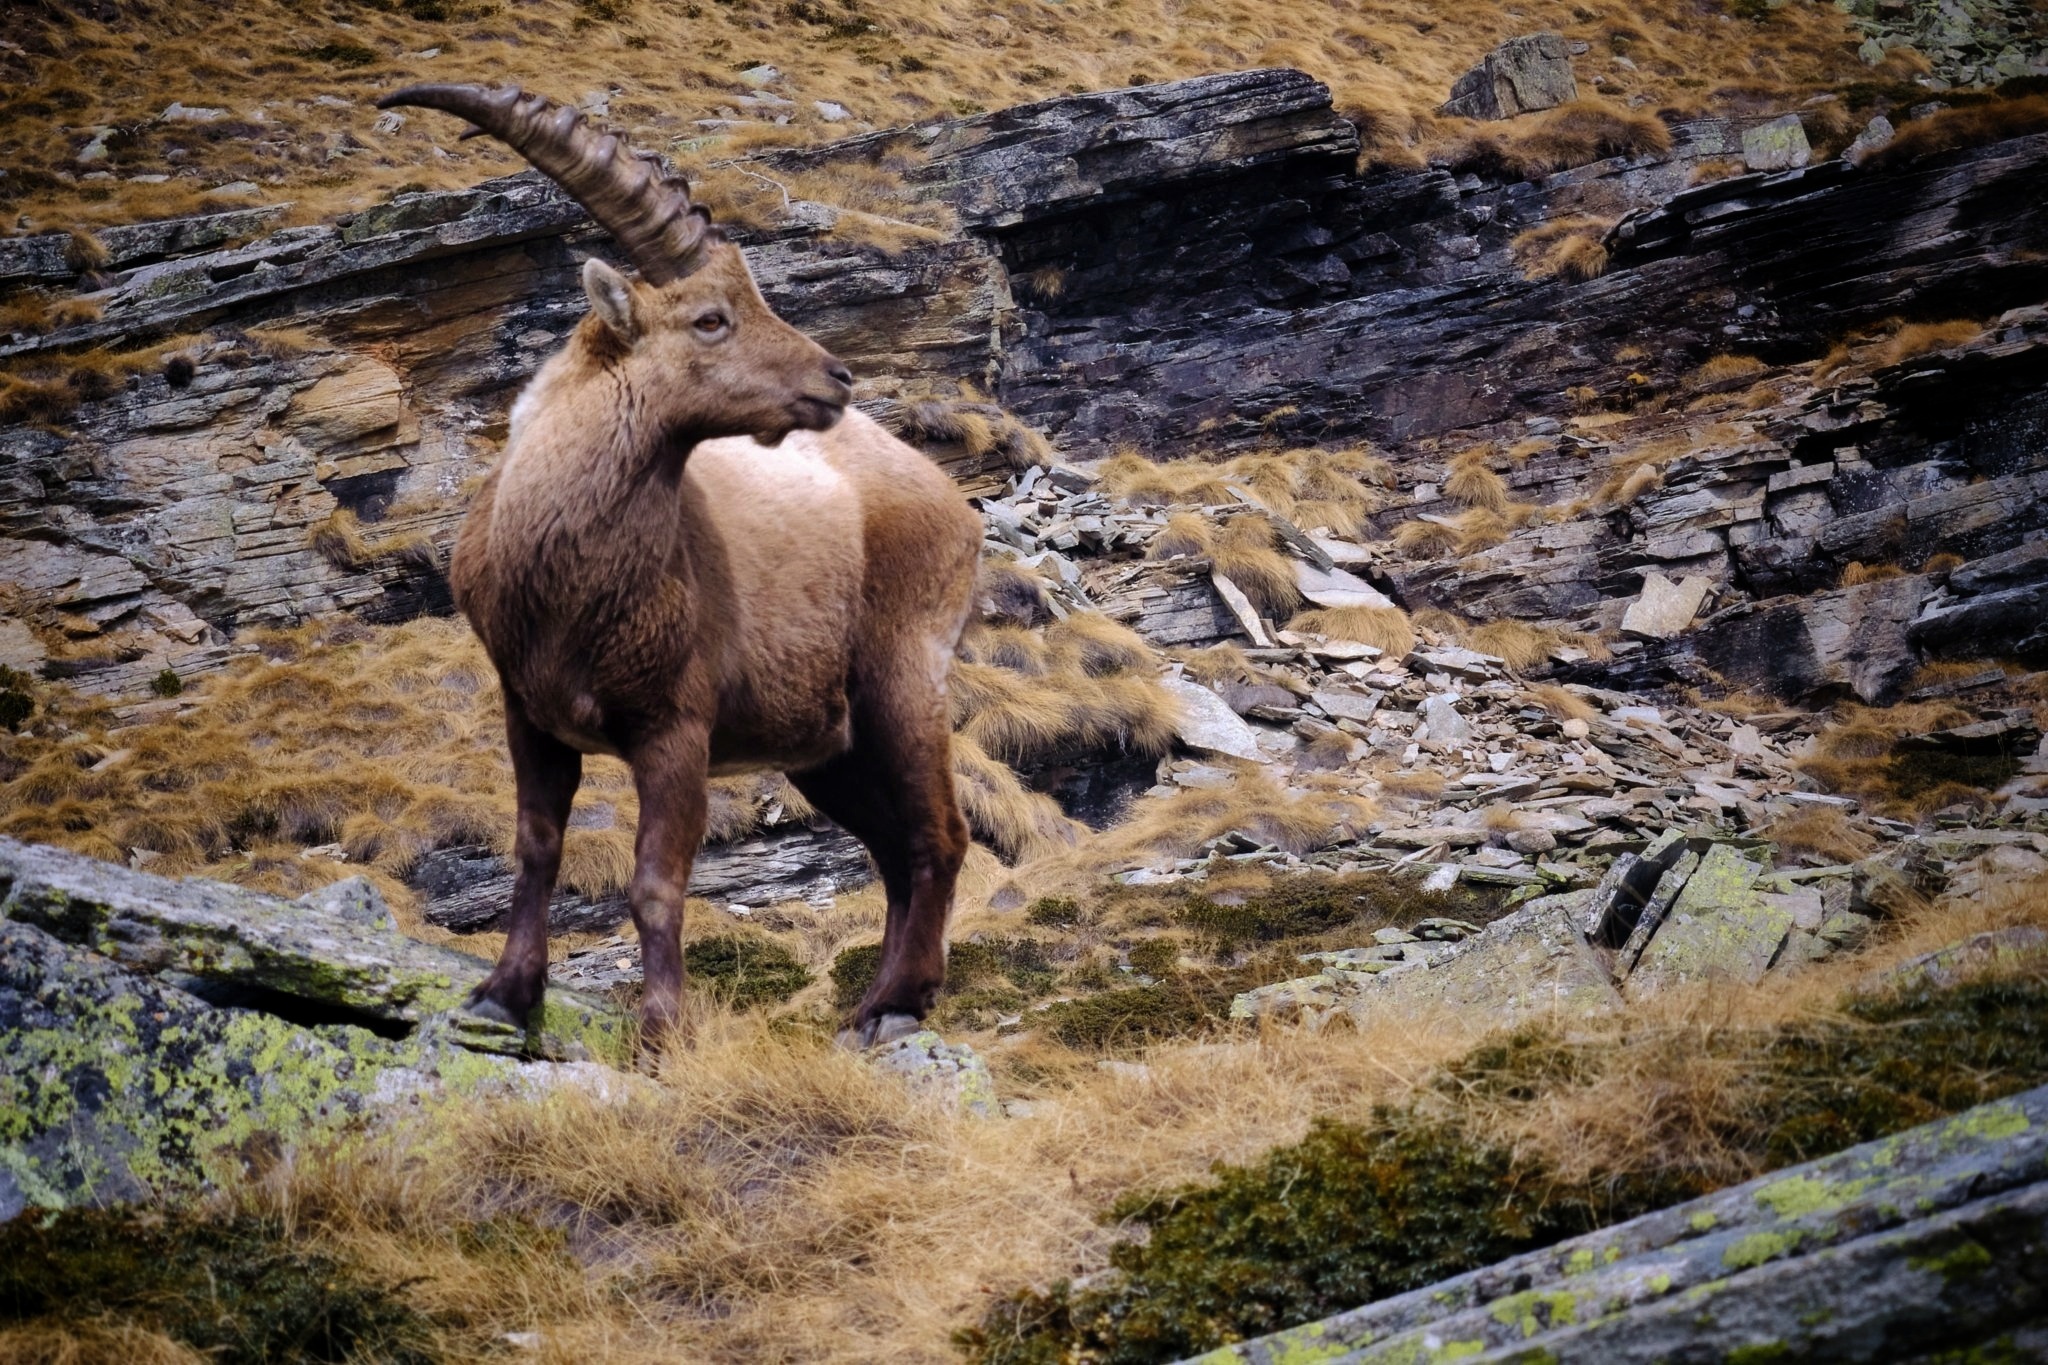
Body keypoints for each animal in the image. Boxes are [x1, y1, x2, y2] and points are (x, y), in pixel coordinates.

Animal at [377, 84, 983, 1050]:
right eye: (711, 319)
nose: (837, 377)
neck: (569, 584)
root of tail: (944, 495)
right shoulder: (529, 714)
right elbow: (536, 850)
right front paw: (503, 997)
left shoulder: (676, 727)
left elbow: (656, 882)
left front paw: (663, 1031)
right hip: (826, 745)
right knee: (891, 850)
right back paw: (867, 1006)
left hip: (903, 680)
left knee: (940, 836)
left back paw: (898, 1004)